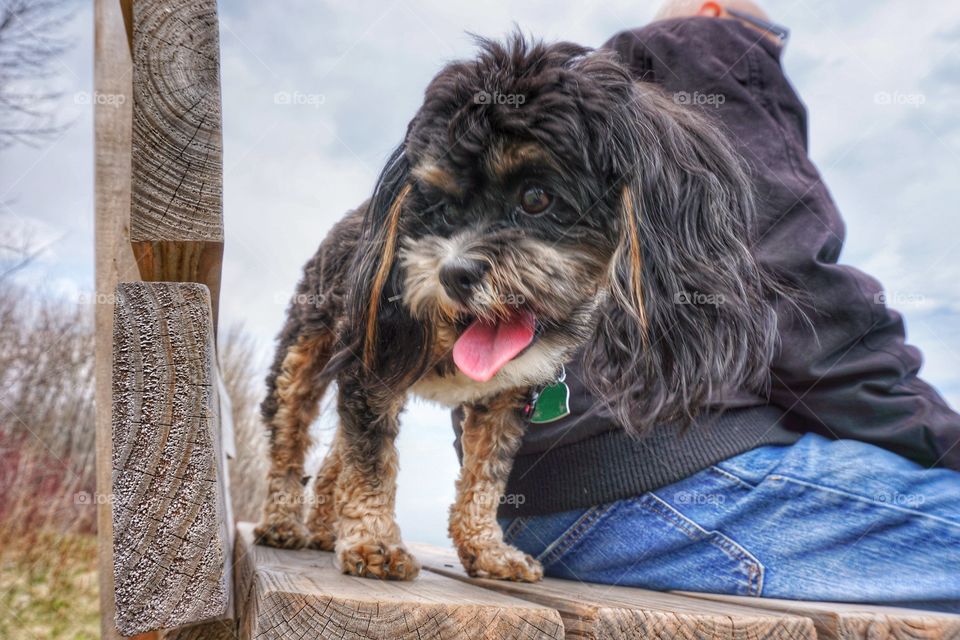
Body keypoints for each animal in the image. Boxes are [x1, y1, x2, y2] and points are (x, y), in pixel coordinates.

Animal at [256, 35, 780, 584]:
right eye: (441, 206)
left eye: (536, 197)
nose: (454, 274)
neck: (460, 328)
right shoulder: (371, 367)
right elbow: (372, 462)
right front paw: (374, 543)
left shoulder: (504, 399)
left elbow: (485, 478)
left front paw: (487, 550)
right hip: (302, 356)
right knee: (289, 439)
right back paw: (283, 523)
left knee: (333, 457)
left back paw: (322, 528)